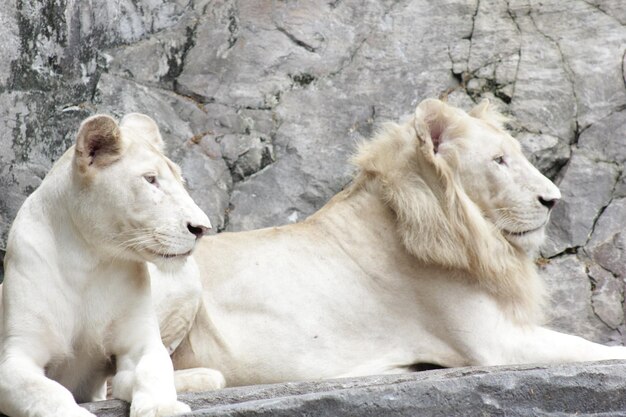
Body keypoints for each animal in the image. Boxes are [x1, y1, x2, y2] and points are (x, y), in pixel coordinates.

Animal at [0, 111, 223, 416]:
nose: (202, 228)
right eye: (150, 179)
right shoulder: (16, 357)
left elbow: (156, 369)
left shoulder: (139, 343)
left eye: (181, 180)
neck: (87, 261)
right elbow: (45, 392)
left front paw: (162, 407)